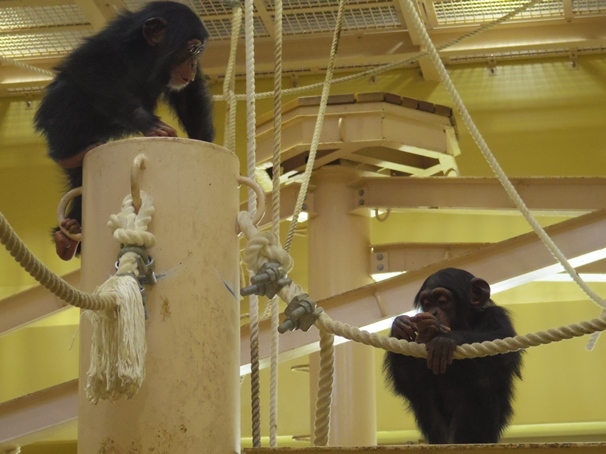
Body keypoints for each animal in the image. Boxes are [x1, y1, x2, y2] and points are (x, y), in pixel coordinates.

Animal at [35, 0, 216, 260]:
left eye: (198, 52)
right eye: (191, 50)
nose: (192, 64)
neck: (148, 55)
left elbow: (187, 97)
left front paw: (205, 142)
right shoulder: (114, 43)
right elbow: (89, 67)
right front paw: (148, 122)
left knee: (79, 182)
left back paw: (69, 235)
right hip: (58, 118)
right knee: (71, 94)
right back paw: (70, 155)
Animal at [384, 266, 524, 444]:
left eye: (442, 301)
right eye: (427, 303)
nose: (433, 312)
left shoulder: (497, 316)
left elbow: (501, 343)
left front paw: (443, 336)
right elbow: (412, 384)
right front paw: (400, 326)